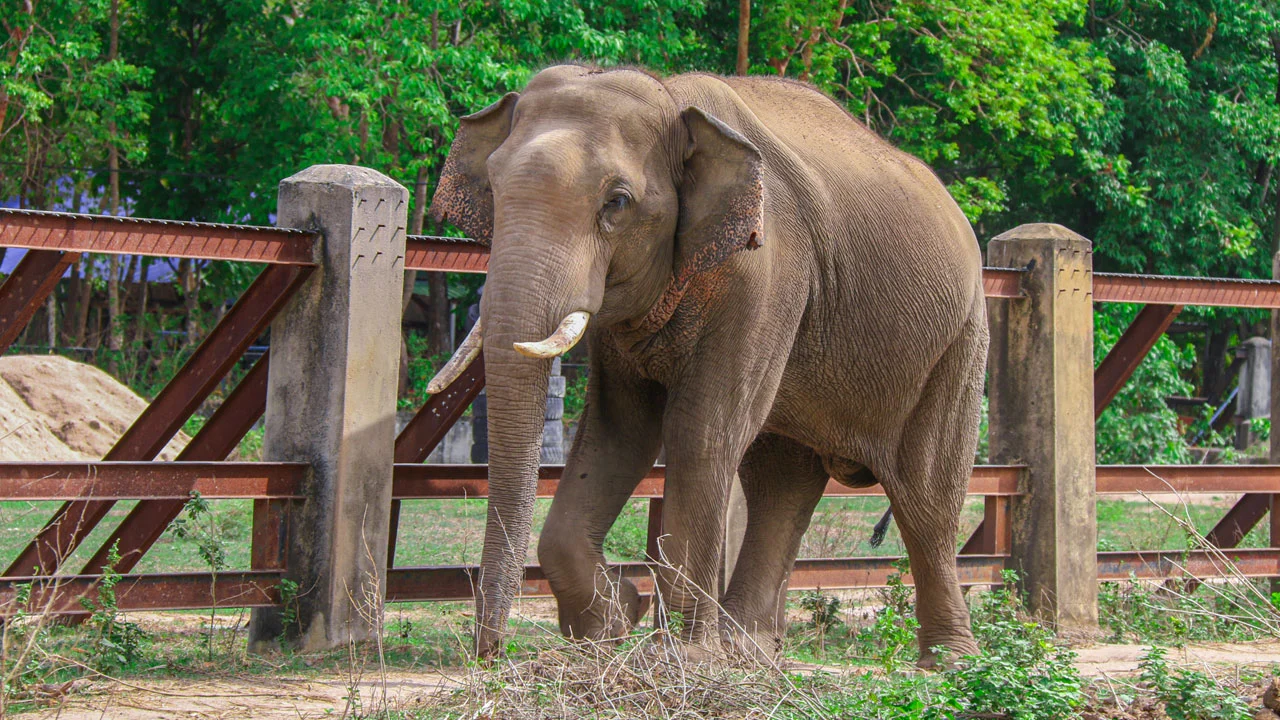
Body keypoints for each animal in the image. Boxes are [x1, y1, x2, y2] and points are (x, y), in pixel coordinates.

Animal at [425, 64, 988, 666]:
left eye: (617, 202)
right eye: (493, 186)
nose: (490, 652)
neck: (672, 99)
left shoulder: (766, 274)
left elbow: (701, 431)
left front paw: (681, 656)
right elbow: (619, 433)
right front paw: (613, 623)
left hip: (958, 343)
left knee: (926, 496)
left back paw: (948, 662)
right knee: (781, 480)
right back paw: (749, 651)